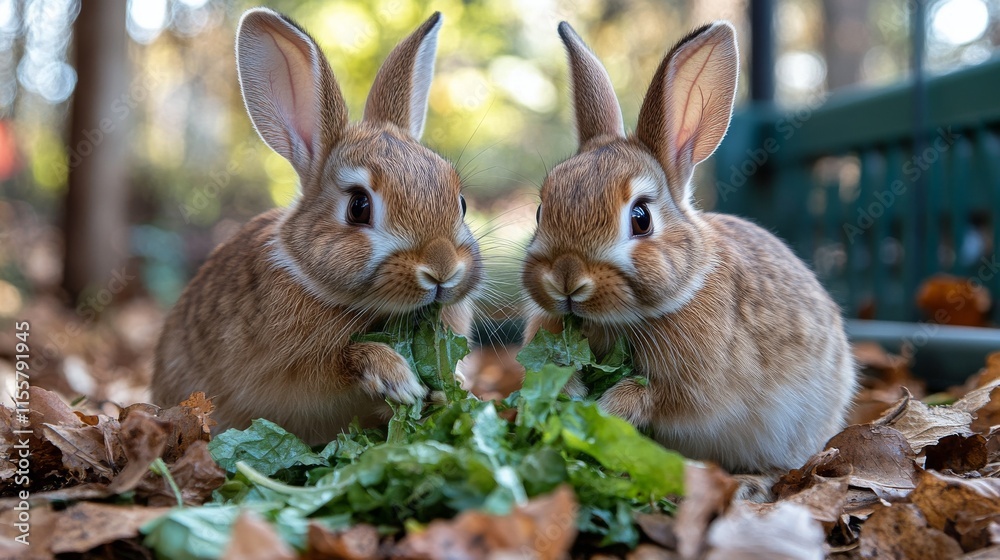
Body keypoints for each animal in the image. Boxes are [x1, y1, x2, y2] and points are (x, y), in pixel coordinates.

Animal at [152, 8, 482, 445]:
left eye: (460, 202)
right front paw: (397, 378)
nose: (443, 269)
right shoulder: (286, 372)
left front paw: (451, 389)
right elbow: (332, 367)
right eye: (358, 207)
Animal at [521, 21, 856, 499]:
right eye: (539, 211)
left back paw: (749, 484)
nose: (566, 278)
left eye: (640, 218)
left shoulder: (693, 389)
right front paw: (570, 393)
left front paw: (603, 410)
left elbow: (651, 397)